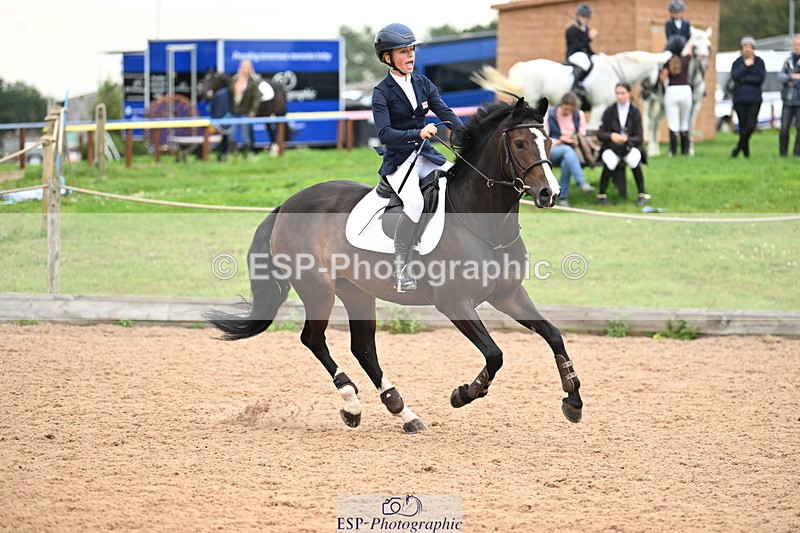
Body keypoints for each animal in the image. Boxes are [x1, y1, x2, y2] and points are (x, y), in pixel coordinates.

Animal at [205, 97, 583, 433]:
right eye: (519, 143)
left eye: (549, 141)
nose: (550, 194)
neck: (484, 224)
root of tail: (287, 204)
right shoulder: (454, 303)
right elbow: (495, 354)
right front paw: (464, 394)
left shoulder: (508, 295)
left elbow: (553, 334)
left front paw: (573, 400)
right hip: (317, 289)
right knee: (314, 339)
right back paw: (352, 403)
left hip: (356, 292)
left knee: (363, 349)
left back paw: (402, 411)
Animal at [471, 50, 670, 127]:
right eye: (662, 72)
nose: (647, 94)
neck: (612, 71)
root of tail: (522, 67)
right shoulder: (599, 107)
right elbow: (592, 127)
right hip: (531, 100)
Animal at [643, 26, 713, 156]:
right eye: (694, 46)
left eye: (709, 46)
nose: (704, 65)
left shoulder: (695, 104)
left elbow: (690, 126)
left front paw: (689, 149)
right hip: (649, 101)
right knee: (650, 123)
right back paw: (651, 150)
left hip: (662, 106)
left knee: (656, 123)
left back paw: (656, 150)